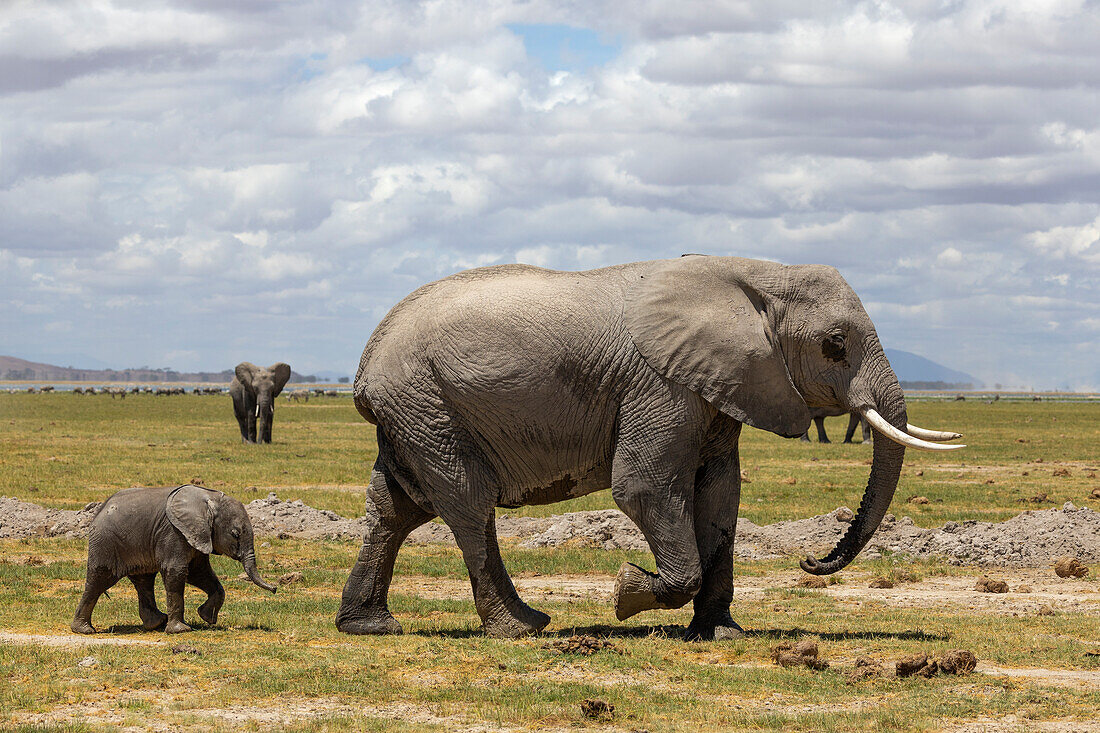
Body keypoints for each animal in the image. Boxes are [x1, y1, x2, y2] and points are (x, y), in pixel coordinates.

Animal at [70, 482, 277, 629]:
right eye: (235, 534)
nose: (275, 588)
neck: (209, 499)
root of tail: (99, 511)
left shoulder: (196, 534)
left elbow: (198, 573)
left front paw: (206, 618)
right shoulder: (174, 532)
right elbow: (176, 571)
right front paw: (181, 630)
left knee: (144, 581)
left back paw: (157, 623)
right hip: (105, 542)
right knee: (98, 580)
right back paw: (84, 629)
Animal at [336, 254, 963, 638]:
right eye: (835, 344)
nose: (811, 561)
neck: (756, 275)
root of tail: (365, 367)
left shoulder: (717, 388)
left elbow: (720, 495)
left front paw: (720, 634)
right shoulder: (660, 385)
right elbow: (643, 488)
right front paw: (626, 592)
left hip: (414, 414)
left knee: (396, 509)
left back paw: (370, 626)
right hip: (426, 404)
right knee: (467, 505)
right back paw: (521, 629)